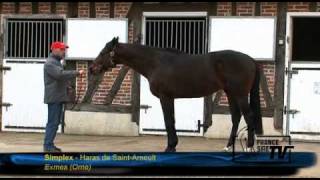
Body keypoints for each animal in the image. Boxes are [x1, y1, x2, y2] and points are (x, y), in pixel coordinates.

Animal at [88, 36, 262, 152]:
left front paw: (170, 147)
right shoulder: (170, 98)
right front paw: (172, 146)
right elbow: (171, 120)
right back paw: (227, 147)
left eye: (103, 52)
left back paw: (249, 148)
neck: (155, 63)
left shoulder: (165, 97)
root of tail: (251, 60)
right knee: (236, 117)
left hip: (240, 94)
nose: (92, 69)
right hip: (231, 93)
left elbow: (168, 121)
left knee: (249, 116)